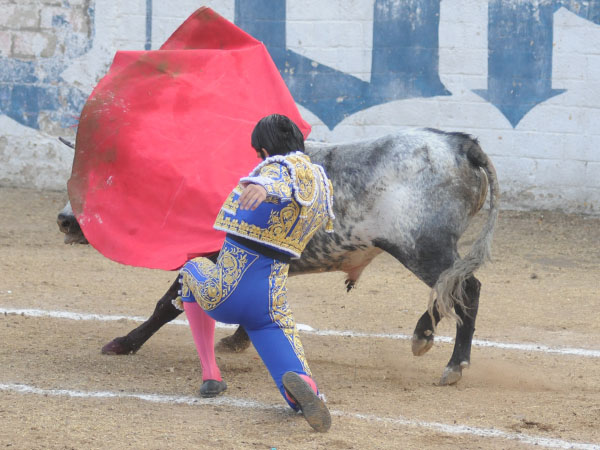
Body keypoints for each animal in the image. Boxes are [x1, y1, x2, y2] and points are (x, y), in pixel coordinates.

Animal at [56, 128, 500, 384]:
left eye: (109, 181)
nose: (65, 221)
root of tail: (461, 144)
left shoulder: (208, 253)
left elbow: (167, 303)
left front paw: (124, 343)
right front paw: (238, 340)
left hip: (421, 247)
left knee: (466, 290)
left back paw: (452, 364)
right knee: (452, 291)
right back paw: (424, 337)